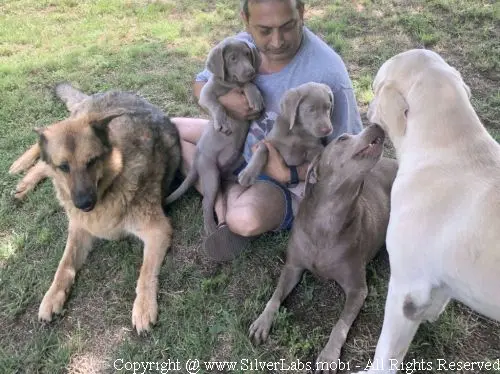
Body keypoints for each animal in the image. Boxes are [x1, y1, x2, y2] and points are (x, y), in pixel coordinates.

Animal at [165, 37, 266, 234]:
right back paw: (210, 227)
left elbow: (247, 84)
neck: (230, 84)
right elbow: (217, 104)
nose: (250, 71)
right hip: (210, 172)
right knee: (206, 201)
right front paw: (222, 122)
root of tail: (196, 161)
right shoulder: (206, 93)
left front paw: (255, 96)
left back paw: (236, 178)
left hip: (236, 159)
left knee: (225, 178)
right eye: (233, 58)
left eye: (247, 54)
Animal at [250, 124, 398, 372]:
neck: (327, 220)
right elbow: (276, 295)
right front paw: (263, 321)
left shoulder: (357, 289)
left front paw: (328, 355)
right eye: (343, 138)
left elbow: (340, 324)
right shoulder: (292, 267)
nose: (377, 125)